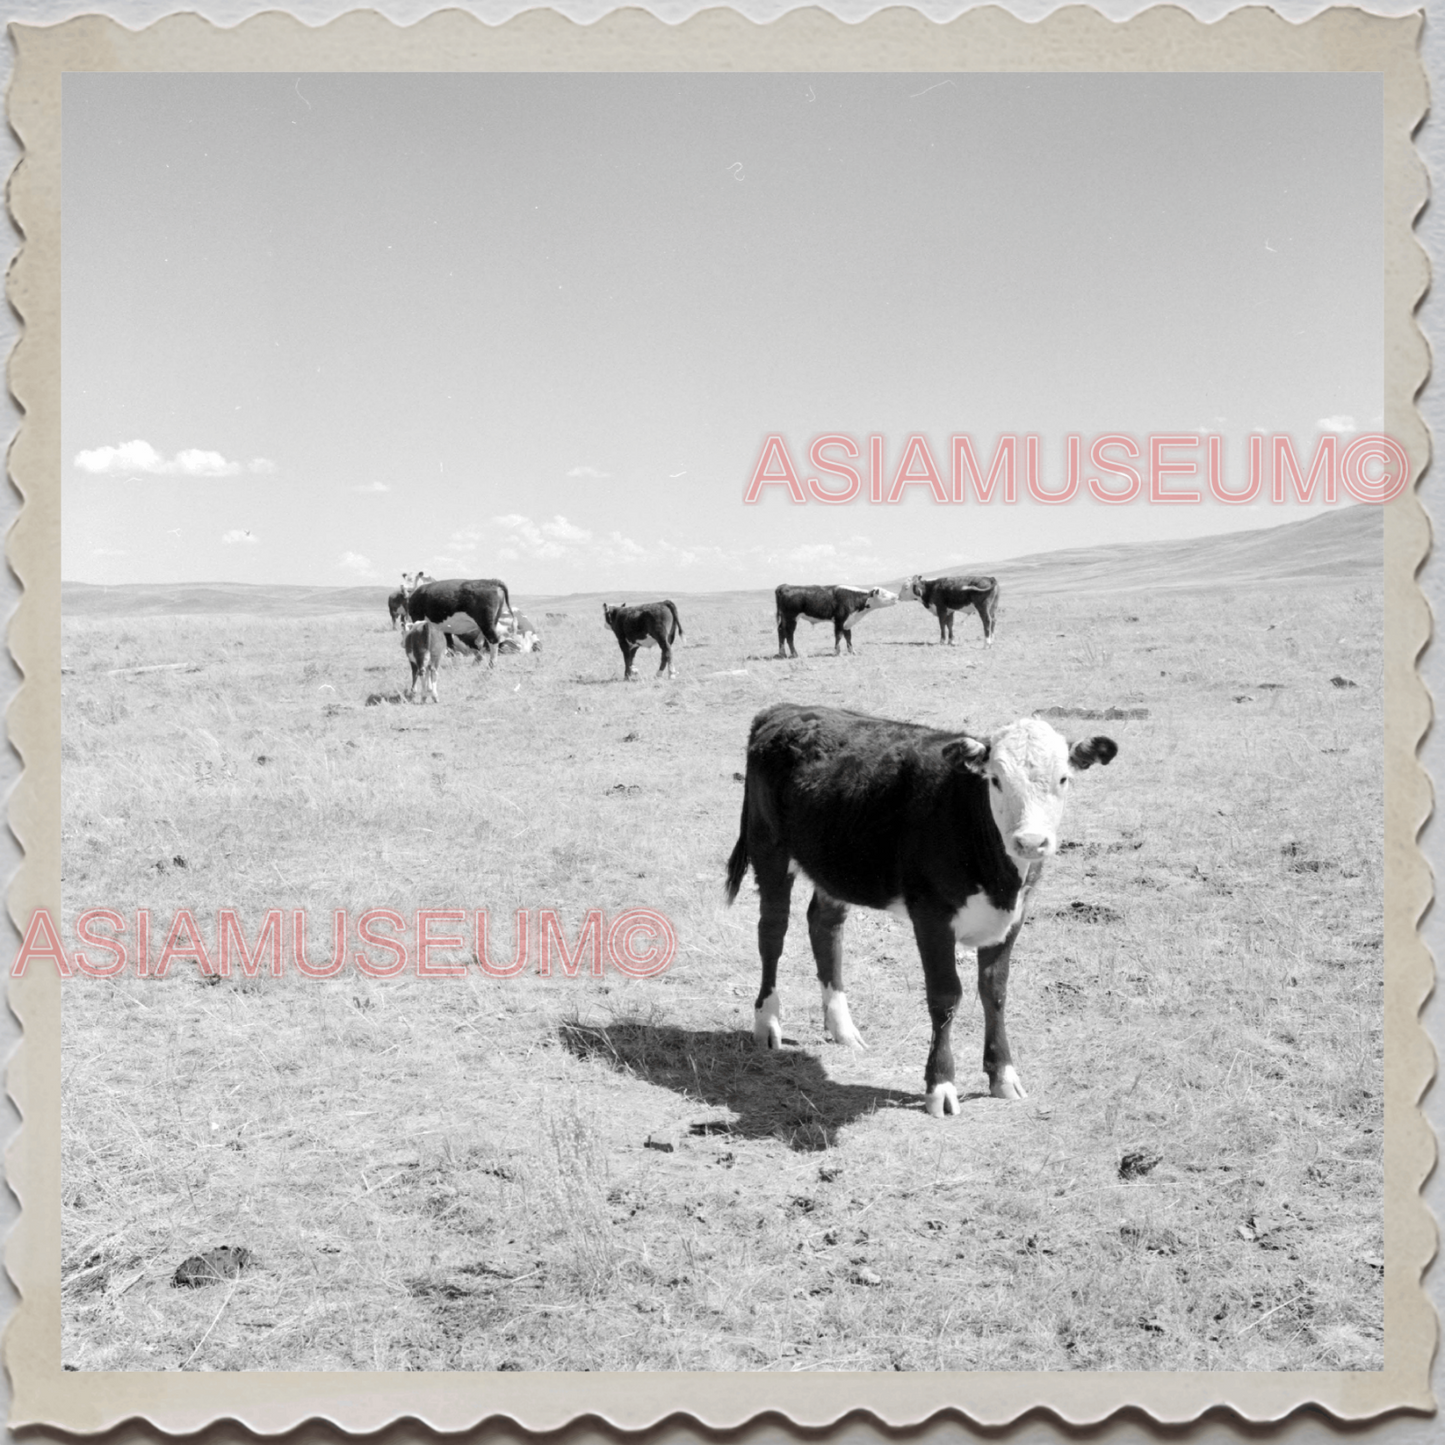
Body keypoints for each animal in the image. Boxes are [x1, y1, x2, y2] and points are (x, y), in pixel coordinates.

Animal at [722, 699, 1115, 1115]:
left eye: (1063, 779)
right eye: (995, 780)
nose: (1031, 841)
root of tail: (784, 709)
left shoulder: (1014, 916)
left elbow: (995, 990)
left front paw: (1003, 1075)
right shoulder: (931, 915)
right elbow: (945, 996)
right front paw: (940, 1085)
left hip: (835, 863)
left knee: (825, 927)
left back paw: (843, 1028)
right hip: (769, 848)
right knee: (772, 932)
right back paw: (767, 1023)